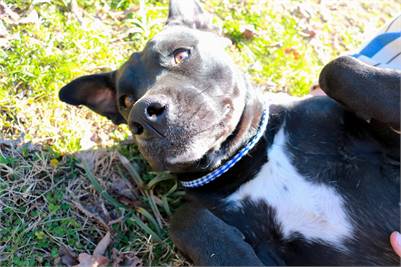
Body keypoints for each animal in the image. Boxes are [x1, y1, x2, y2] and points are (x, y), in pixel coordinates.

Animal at [57, 1, 398, 266]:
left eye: (181, 54)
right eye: (125, 102)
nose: (142, 115)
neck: (249, 160)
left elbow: (336, 68)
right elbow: (185, 217)